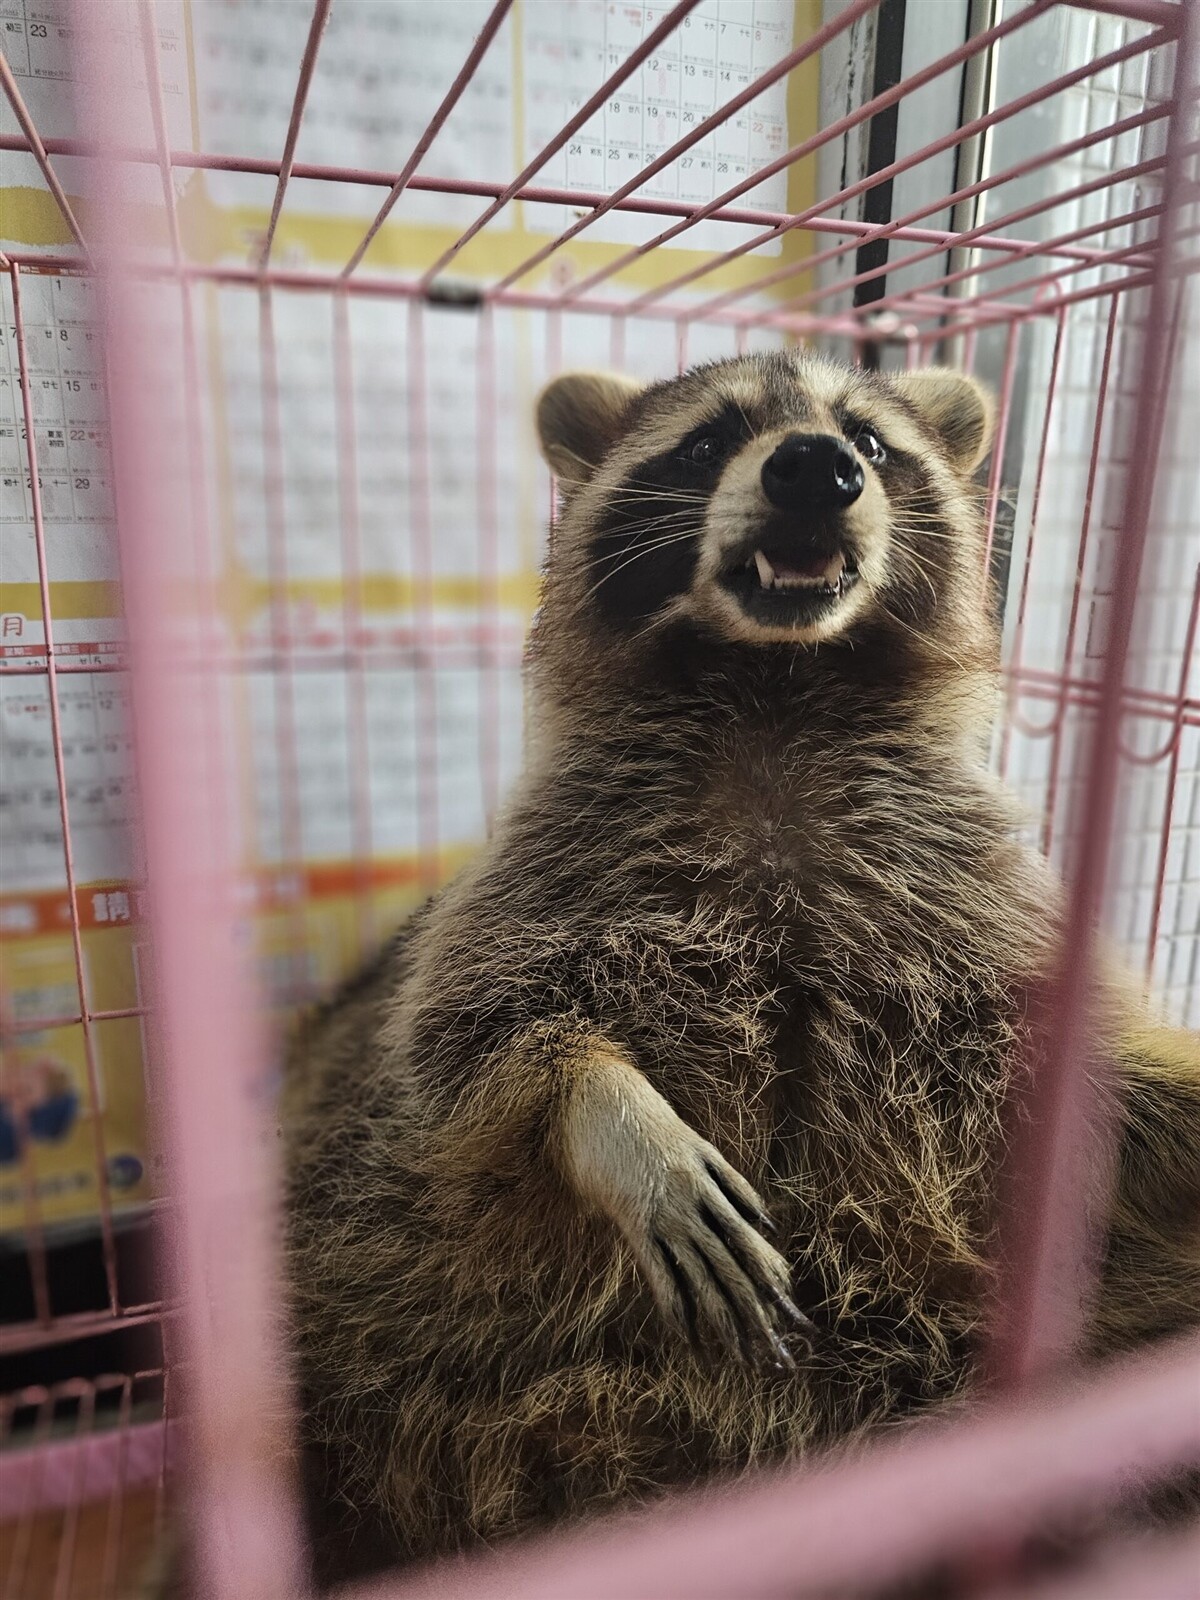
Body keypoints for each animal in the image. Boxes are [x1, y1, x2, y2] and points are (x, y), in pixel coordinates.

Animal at [284, 353, 1200, 1587]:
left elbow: (1096, 1076)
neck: (779, 687)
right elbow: (476, 1037)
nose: (815, 466)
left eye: (870, 439)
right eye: (709, 441)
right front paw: (613, 1114)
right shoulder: (552, 866)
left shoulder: (972, 898)